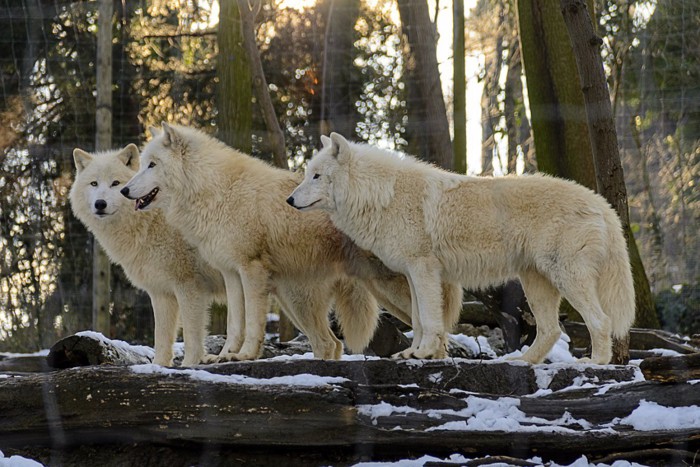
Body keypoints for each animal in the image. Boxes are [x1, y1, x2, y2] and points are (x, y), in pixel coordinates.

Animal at [69, 144, 226, 368]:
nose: (100, 204)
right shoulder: (161, 292)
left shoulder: (189, 285)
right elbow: (161, 338)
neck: (153, 219)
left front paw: (189, 365)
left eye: (115, 183)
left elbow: (192, 335)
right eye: (94, 183)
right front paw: (159, 367)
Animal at [117, 124, 462, 362]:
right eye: (141, 164)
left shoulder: (250, 269)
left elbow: (252, 324)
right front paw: (226, 356)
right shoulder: (231, 273)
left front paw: (245, 355)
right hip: (299, 303)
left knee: (440, 329)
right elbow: (235, 323)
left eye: (152, 165)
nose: (124, 191)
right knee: (331, 343)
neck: (215, 191)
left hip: (388, 290)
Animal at [288, 133, 636, 364]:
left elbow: (429, 320)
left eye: (317, 176)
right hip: (536, 282)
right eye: (306, 175)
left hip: (566, 277)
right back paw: (520, 362)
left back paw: (595, 363)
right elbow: (418, 319)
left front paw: (424, 353)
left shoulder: (424, 269)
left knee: (601, 321)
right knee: (550, 330)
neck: (381, 195)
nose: (290, 200)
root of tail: (600, 202)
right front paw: (416, 352)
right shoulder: (414, 274)